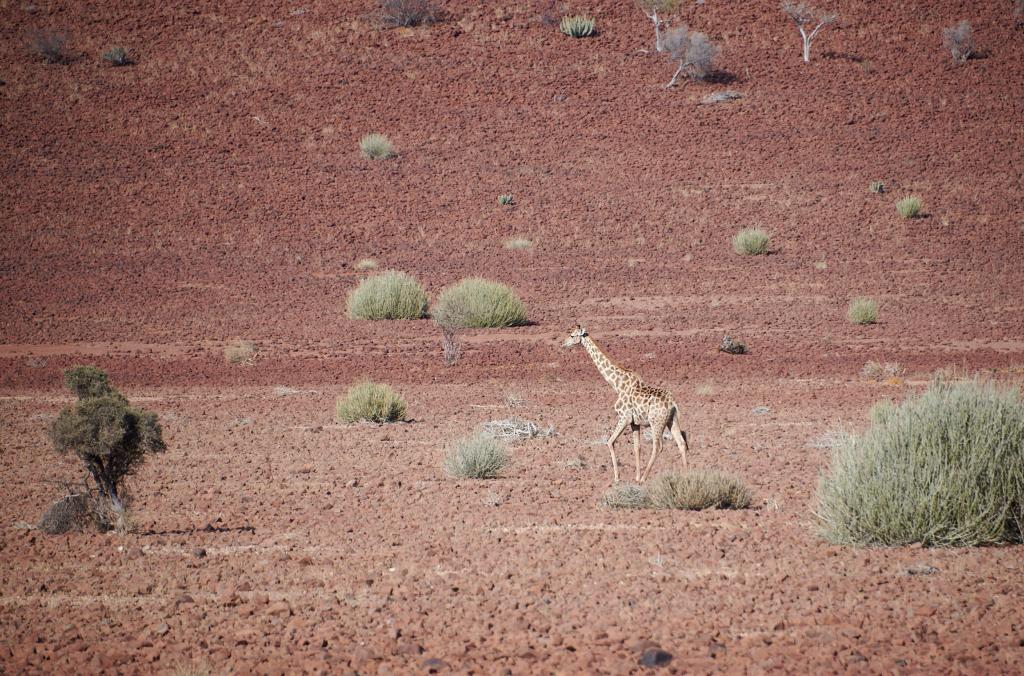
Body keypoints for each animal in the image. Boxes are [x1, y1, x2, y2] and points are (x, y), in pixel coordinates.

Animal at [565, 325, 692, 481]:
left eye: (572, 335)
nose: (564, 343)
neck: (617, 385)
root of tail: (672, 403)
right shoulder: (634, 422)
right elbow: (636, 448)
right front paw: (636, 477)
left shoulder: (624, 417)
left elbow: (610, 441)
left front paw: (617, 478)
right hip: (671, 420)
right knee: (681, 443)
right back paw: (686, 476)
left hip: (656, 422)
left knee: (658, 446)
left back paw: (644, 478)